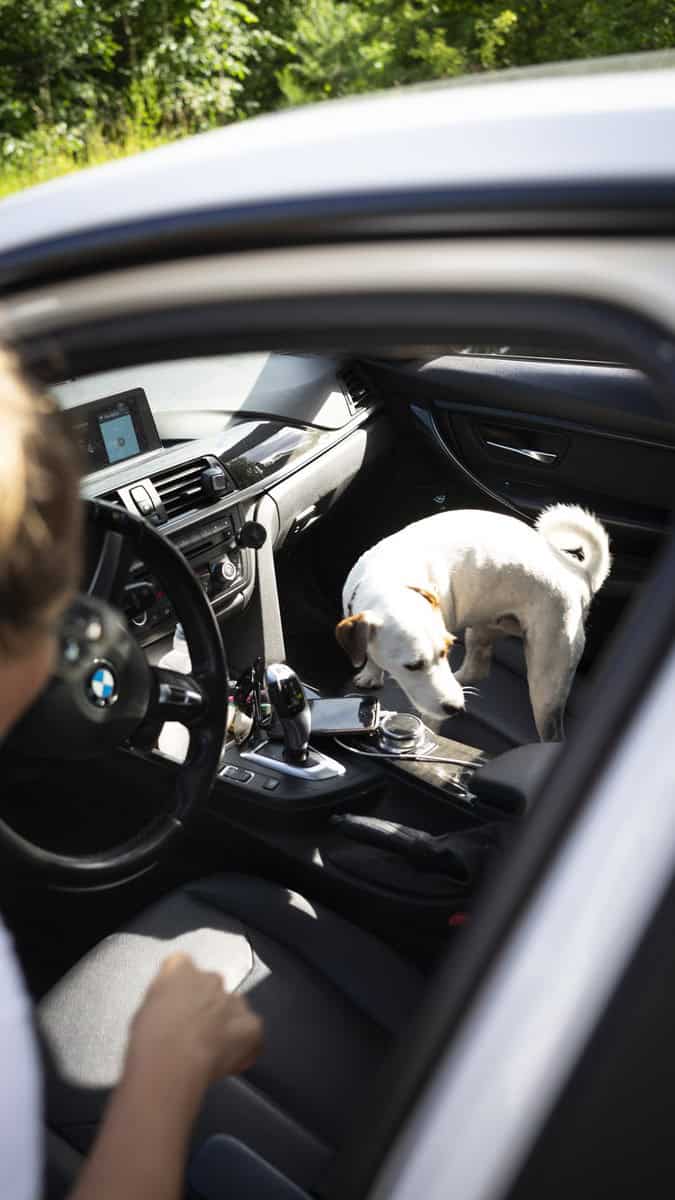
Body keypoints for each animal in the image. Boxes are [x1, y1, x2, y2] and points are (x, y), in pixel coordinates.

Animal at [336, 505, 611, 741]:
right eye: (412, 666)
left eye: (446, 651)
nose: (456, 707)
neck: (392, 577)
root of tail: (579, 573)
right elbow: (370, 655)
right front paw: (371, 673)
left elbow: (431, 720)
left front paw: (429, 733)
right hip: (481, 629)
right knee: (477, 669)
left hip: (546, 680)